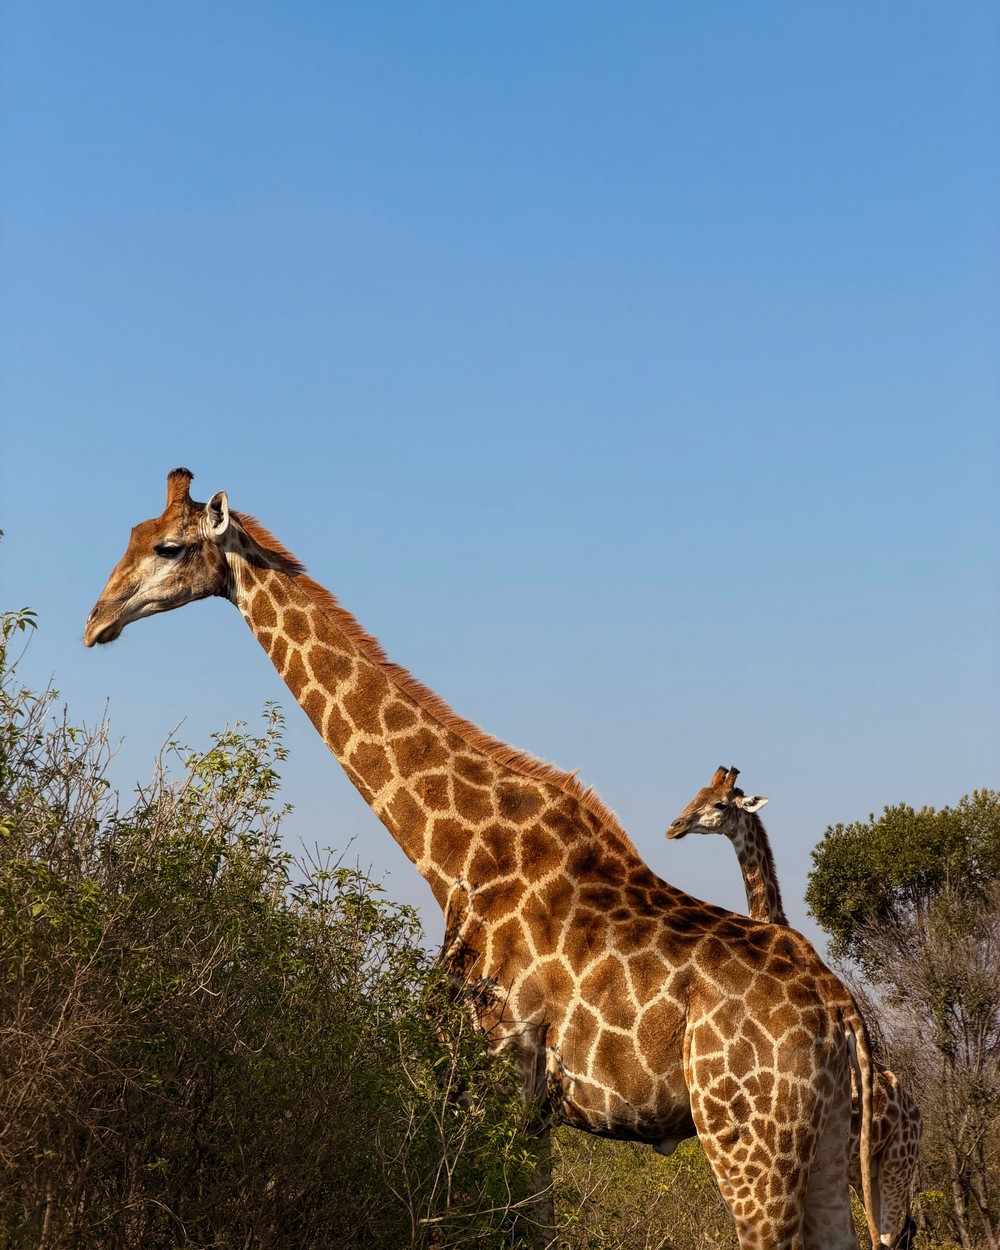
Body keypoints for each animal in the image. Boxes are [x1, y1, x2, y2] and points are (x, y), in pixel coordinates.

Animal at [84, 469, 881, 1250]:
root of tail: (842, 1015)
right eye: (133, 535)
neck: (456, 856)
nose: (95, 621)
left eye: (169, 547)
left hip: (748, 1138)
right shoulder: (529, 1102)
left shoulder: (499, 1075)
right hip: (823, 1148)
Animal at [667, 766, 922, 1250]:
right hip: (867, 1173)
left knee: (885, 1237)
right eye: (696, 793)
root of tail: (917, 1111)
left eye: (719, 804)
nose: (674, 827)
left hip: (895, 1166)